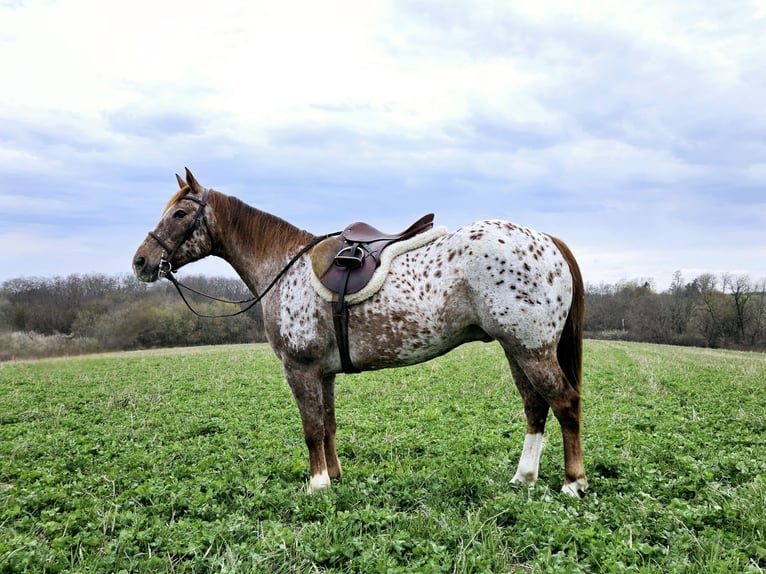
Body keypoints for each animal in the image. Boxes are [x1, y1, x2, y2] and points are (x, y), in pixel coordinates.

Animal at [132, 169, 592, 498]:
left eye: (179, 214)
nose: (141, 261)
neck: (285, 266)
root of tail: (547, 240)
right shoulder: (324, 372)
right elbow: (328, 425)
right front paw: (334, 477)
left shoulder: (300, 369)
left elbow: (311, 428)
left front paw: (316, 485)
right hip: (517, 349)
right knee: (535, 407)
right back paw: (523, 478)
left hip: (531, 349)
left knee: (565, 403)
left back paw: (573, 483)